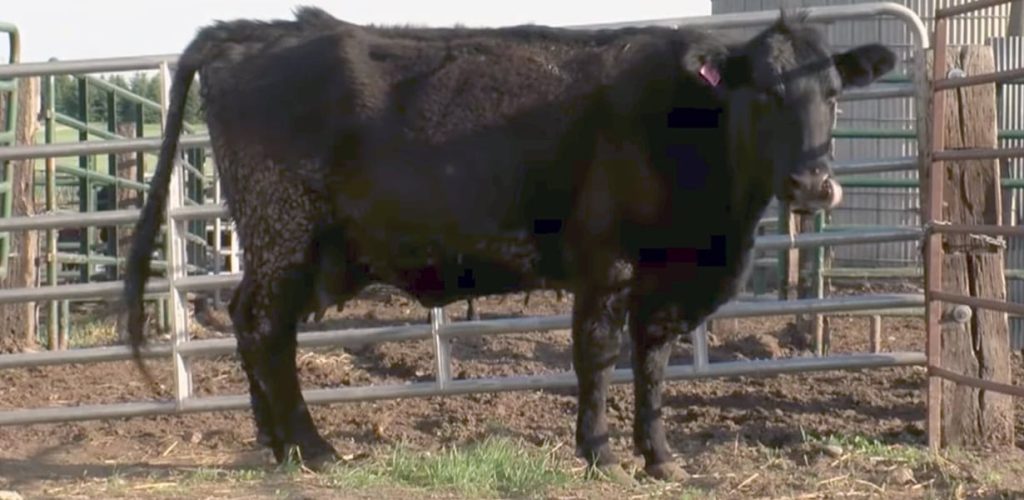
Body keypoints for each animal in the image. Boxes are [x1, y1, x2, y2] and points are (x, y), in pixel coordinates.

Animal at [123, 7, 895, 482]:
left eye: (833, 93)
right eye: (765, 92)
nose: (812, 184)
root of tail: (258, 32)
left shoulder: (664, 282)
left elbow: (653, 365)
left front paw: (659, 455)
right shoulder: (605, 264)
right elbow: (597, 356)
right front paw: (599, 452)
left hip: (291, 248)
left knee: (256, 326)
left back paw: (279, 444)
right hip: (284, 229)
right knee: (262, 327)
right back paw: (313, 447)